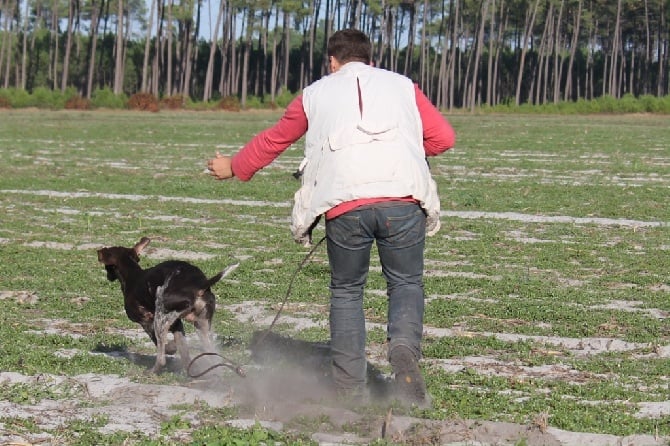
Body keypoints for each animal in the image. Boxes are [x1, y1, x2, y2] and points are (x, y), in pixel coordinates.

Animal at [94, 237, 231, 372]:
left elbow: (162, 344)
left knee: (161, 359)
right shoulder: (176, 323)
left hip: (160, 316)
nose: (108, 277)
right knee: (211, 353)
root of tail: (200, 285)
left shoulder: (146, 320)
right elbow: (183, 349)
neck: (133, 275)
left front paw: (170, 349)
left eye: (107, 267)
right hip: (201, 324)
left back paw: (153, 371)